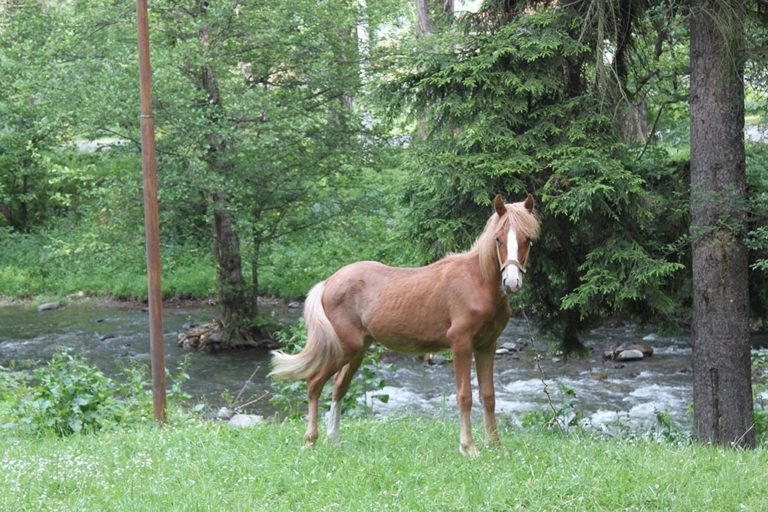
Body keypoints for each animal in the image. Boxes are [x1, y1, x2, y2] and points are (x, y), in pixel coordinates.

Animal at [269, 194, 539, 456]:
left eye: (527, 240)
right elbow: (465, 396)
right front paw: (469, 447)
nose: (512, 283)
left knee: (338, 387)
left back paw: (332, 439)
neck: (476, 281)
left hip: (357, 350)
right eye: (498, 239)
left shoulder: (487, 346)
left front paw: (496, 445)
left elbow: (488, 395)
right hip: (344, 349)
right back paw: (310, 440)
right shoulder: (461, 344)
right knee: (314, 383)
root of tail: (329, 282)